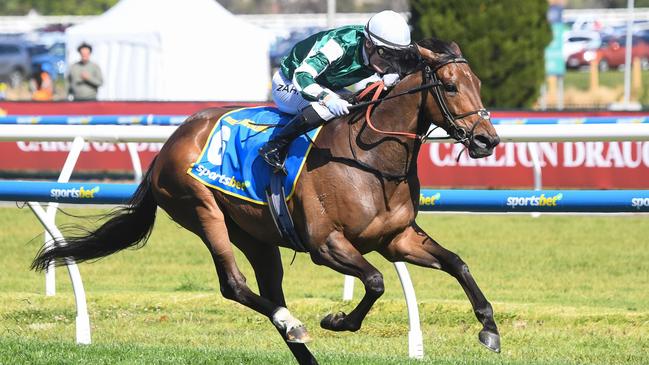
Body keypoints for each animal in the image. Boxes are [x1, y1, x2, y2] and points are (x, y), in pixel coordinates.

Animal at [33, 38, 502, 362]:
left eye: (478, 83)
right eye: (449, 85)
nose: (487, 140)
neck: (370, 158)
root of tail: (170, 141)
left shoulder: (396, 238)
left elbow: (457, 263)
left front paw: (489, 328)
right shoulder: (325, 244)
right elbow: (375, 281)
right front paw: (337, 320)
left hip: (256, 236)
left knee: (268, 290)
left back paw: (299, 342)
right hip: (202, 210)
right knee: (235, 285)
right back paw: (293, 324)